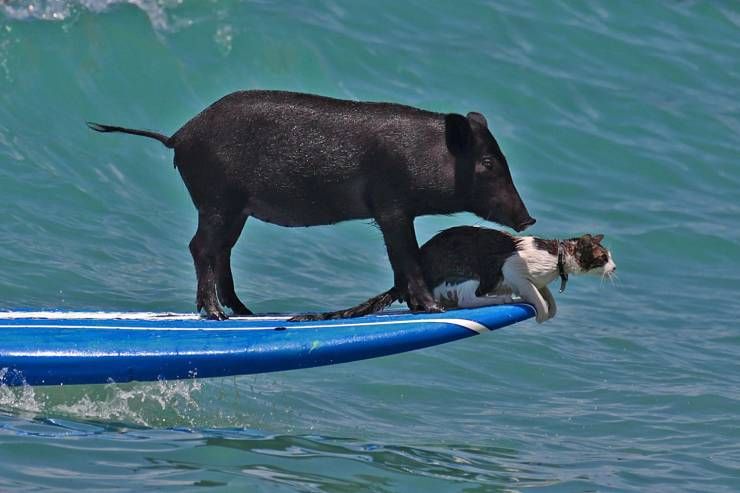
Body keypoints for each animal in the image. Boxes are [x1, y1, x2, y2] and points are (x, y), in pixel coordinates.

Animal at [89, 90, 536, 320]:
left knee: (222, 251)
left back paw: (246, 312)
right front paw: (432, 308)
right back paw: (216, 314)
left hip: (235, 209)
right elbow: (407, 257)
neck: (423, 157)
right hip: (217, 198)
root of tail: (178, 136)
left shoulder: (392, 212)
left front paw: (415, 307)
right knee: (200, 247)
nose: (528, 219)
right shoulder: (391, 205)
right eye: (489, 163)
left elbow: (400, 259)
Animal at [292, 226, 616, 322]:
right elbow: (534, 293)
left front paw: (551, 306)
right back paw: (500, 298)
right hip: (469, 273)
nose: (615, 268)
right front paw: (540, 309)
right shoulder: (513, 268)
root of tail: (402, 283)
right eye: (604, 258)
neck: (556, 257)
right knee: (471, 299)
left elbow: (546, 293)